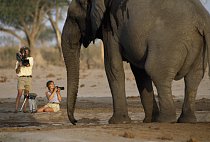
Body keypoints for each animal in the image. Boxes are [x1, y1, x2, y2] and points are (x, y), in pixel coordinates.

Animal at [61, 0, 210, 125]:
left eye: (73, 18)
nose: (75, 121)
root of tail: (202, 20)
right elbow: (140, 74)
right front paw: (148, 120)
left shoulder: (110, 27)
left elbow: (112, 67)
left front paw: (118, 122)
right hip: (198, 47)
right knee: (193, 79)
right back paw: (186, 120)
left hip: (168, 43)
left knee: (158, 74)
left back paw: (165, 120)